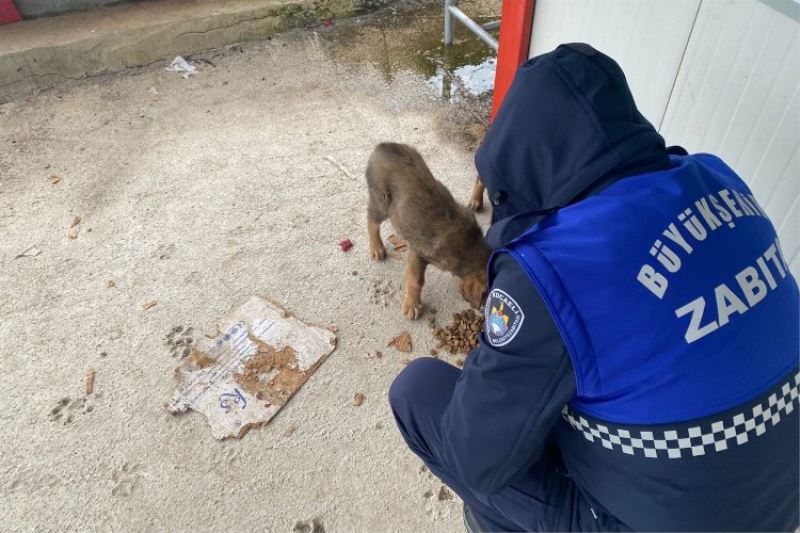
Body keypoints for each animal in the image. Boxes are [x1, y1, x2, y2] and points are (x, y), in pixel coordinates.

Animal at [368, 142, 490, 320]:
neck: (469, 246)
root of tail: (382, 147)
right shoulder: (418, 253)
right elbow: (416, 281)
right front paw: (412, 306)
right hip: (381, 201)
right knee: (371, 221)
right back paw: (376, 248)